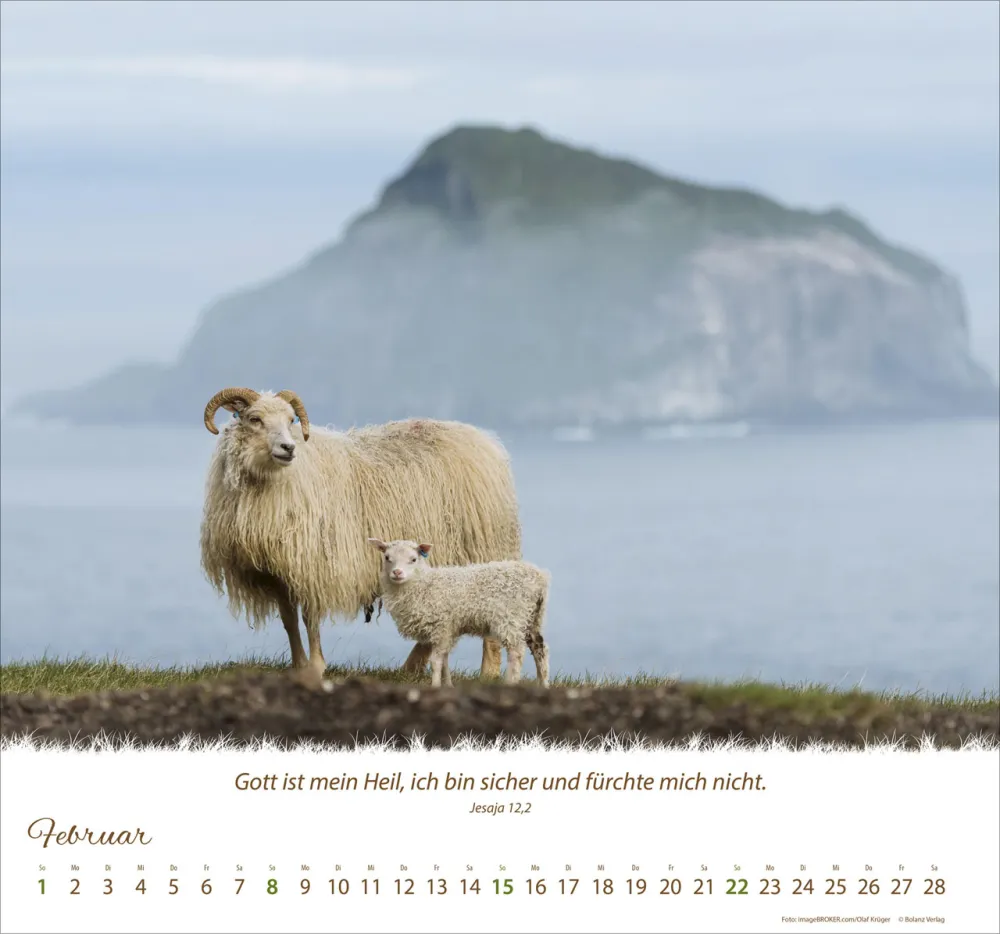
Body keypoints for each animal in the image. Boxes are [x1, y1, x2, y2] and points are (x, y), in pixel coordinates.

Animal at [200, 387, 522, 676]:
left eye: (291, 420)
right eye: (254, 419)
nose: (288, 448)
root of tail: (485, 440)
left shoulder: (315, 563)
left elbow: (309, 618)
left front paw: (316, 667)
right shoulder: (277, 571)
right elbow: (289, 620)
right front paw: (299, 665)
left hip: (483, 549)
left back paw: (487, 673)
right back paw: (411, 667)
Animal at [368, 538, 551, 688]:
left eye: (413, 559)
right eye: (387, 557)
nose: (397, 572)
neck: (423, 584)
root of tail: (539, 577)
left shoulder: (441, 626)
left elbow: (436, 662)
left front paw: (435, 686)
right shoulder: (447, 630)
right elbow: (444, 660)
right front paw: (448, 684)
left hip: (511, 617)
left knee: (516, 652)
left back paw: (510, 683)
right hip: (533, 617)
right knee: (539, 648)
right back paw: (543, 684)